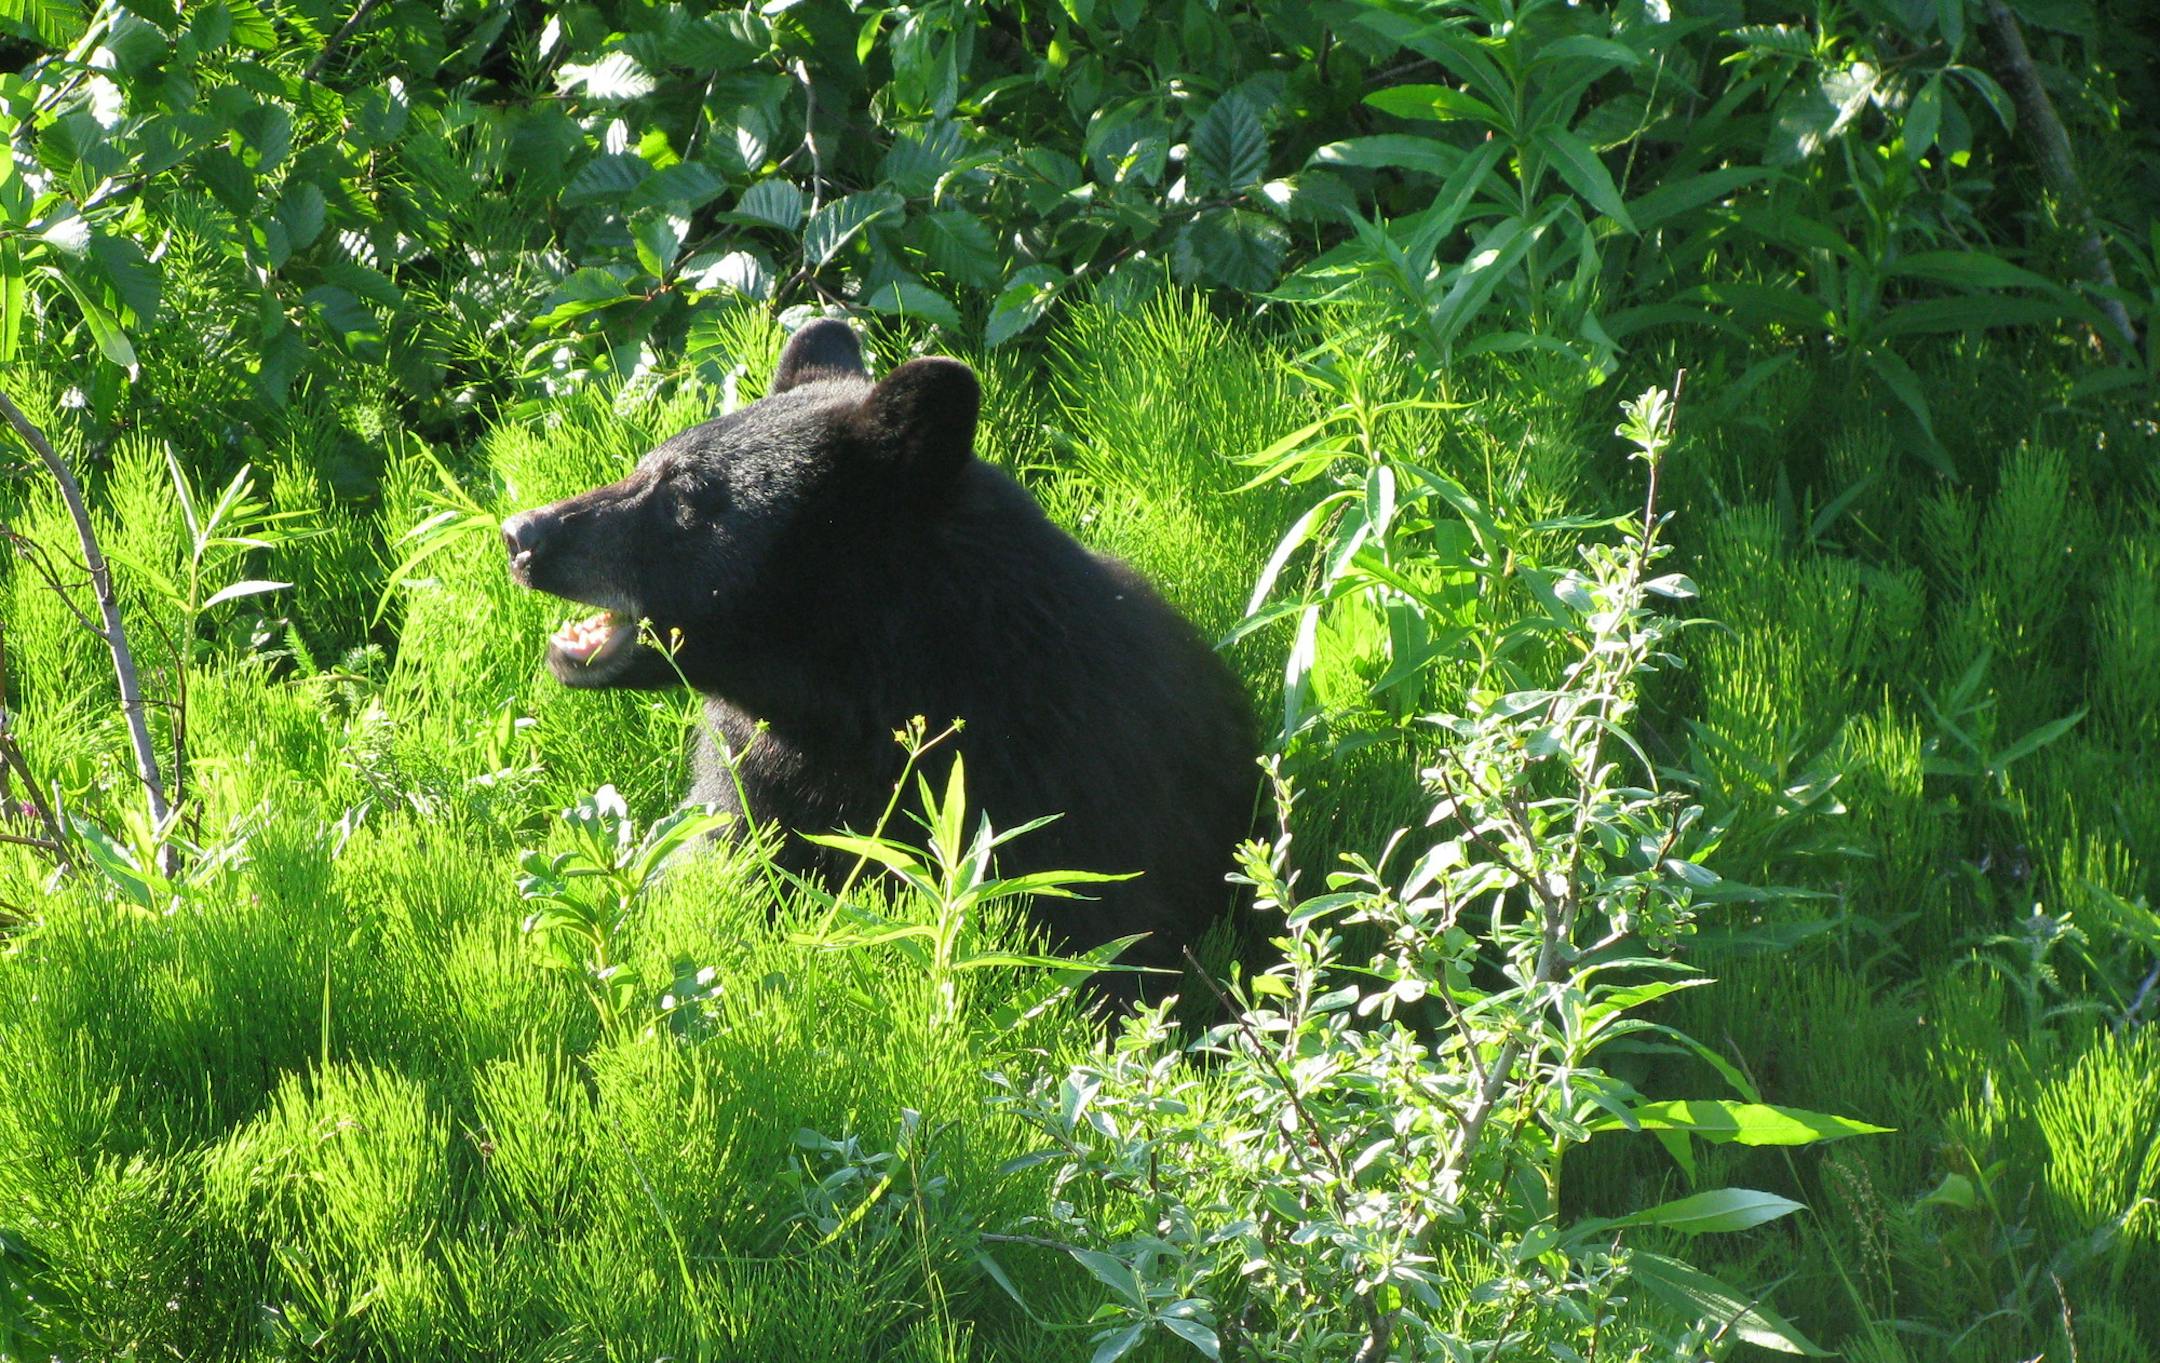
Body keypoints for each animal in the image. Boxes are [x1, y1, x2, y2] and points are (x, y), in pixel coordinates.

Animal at [501, 319, 1257, 999]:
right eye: (646, 461)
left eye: (684, 495)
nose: (521, 533)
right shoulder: (754, 789)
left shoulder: (1077, 798)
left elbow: (1106, 946)